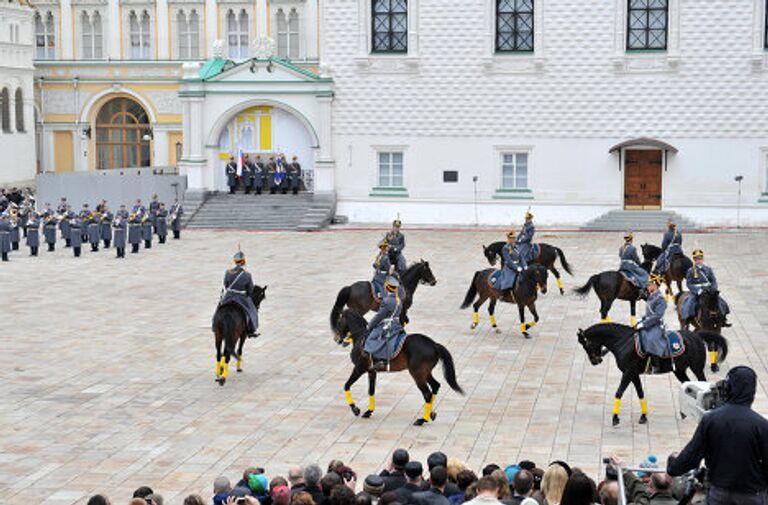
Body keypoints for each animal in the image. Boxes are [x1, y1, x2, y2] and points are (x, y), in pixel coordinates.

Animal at [334, 308, 462, 426]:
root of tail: (434, 344)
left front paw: (355, 409)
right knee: (435, 386)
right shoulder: (371, 371)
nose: (336, 339)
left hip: (417, 374)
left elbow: (346, 385)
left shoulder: (359, 369)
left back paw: (422, 420)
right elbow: (371, 391)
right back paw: (431, 413)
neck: (360, 336)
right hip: (425, 372)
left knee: (427, 394)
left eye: (339, 320)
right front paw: (369, 411)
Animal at [576, 322, 732, 426]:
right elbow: (640, 393)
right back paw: (684, 412)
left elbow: (619, 392)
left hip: (697, 368)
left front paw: (615, 418)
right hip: (679, 370)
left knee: (703, 383)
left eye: (586, 345)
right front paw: (644, 416)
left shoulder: (628, 372)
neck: (623, 341)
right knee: (686, 384)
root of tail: (696, 335)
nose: (595, 361)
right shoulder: (633, 374)